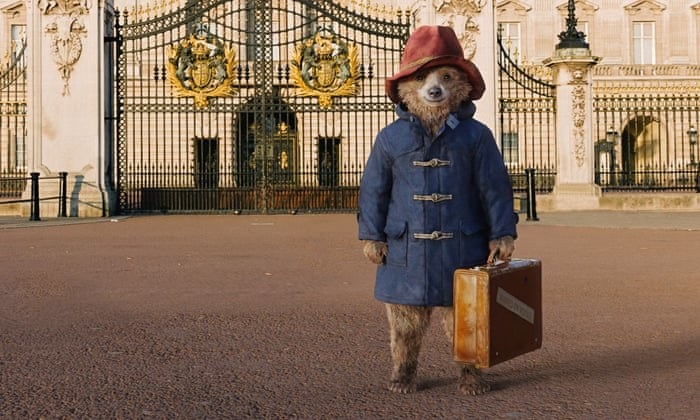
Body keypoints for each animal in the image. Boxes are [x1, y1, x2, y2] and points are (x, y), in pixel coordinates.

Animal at [358, 25, 516, 394]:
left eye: (446, 74)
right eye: (419, 75)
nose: (434, 91)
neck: (432, 124)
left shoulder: (484, 146)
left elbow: (493, 186)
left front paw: (502, 243)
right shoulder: (382, 147)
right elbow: (375, 186)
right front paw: (373, 245)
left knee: (459, 325)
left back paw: (471, 378)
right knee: (405, 325)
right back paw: (402, 377)